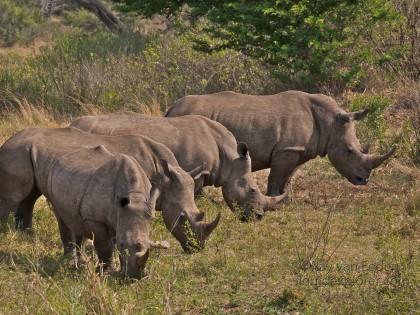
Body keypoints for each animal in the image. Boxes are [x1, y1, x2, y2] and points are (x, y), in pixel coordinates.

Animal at [1, 127, 220, 253]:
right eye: (182, 218)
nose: (197, 248)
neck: (164, 177)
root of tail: (7, 141)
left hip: (28, 152)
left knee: (29, 196)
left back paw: (27, 235)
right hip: (17, 151)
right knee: (15, 198)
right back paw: (7, 236)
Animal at [70, 113, 288, 220]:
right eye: (252, 190)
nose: (258, 217)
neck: (229, 159)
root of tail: (73, 124)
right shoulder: (194, 170)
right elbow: (194, 195)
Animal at [166, 90, 396, 196]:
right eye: (349, 150)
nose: (363, 180)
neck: (329, 121)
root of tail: (172, 108)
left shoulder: (297, 151)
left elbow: (288, 177)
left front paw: (286, 199)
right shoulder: (286, 149)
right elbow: (276, 177)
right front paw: (273, 198)